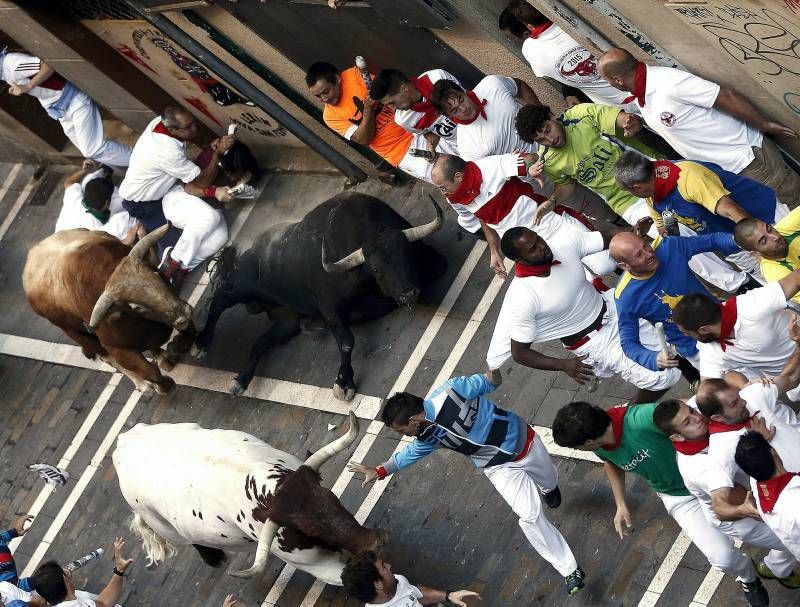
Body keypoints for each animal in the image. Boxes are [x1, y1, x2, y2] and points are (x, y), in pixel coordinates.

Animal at [21, 224, 196, 394]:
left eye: (157, 273)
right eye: (137, 307)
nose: (184, 314)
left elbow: (189, 332)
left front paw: (177, 347)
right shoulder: (117, 348)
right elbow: (148, 371)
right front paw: (163, 386)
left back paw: (163, 358)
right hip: (76, 333)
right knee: (108, 359)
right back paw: (142, 384)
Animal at [192, 194, 444, 400]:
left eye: (407, 254)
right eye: (376, 269)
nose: (409, 293)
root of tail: (242, 251)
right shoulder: (330, 308)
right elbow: (346, 341)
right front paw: (343, 383)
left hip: (287, 321)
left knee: (261, 342)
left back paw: (240, 381)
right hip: (238, 288)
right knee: (217, 304)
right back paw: (201, 345)